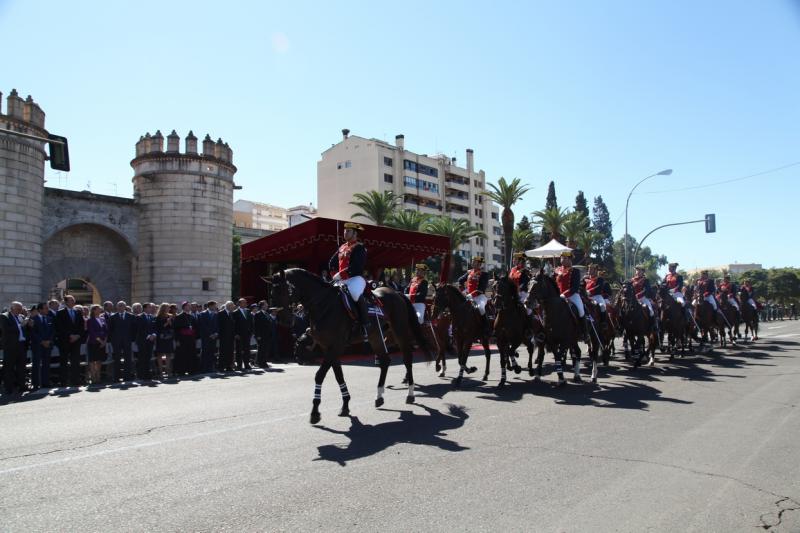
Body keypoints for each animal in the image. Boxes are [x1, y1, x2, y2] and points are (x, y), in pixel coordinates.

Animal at [268, 268, 432, 422]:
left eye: (285, 291)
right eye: (271, 293)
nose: (283, 320)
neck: (324, 305)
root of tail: (397, 293)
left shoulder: (335, 346)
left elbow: (320, 375)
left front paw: (315, 412)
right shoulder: (328, 347)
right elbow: (338, 375)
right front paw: (345, 405)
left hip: (400, 332)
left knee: (407, 359)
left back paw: (410, 394)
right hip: (376, 337)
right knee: (385, 361)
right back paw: (379, 396)